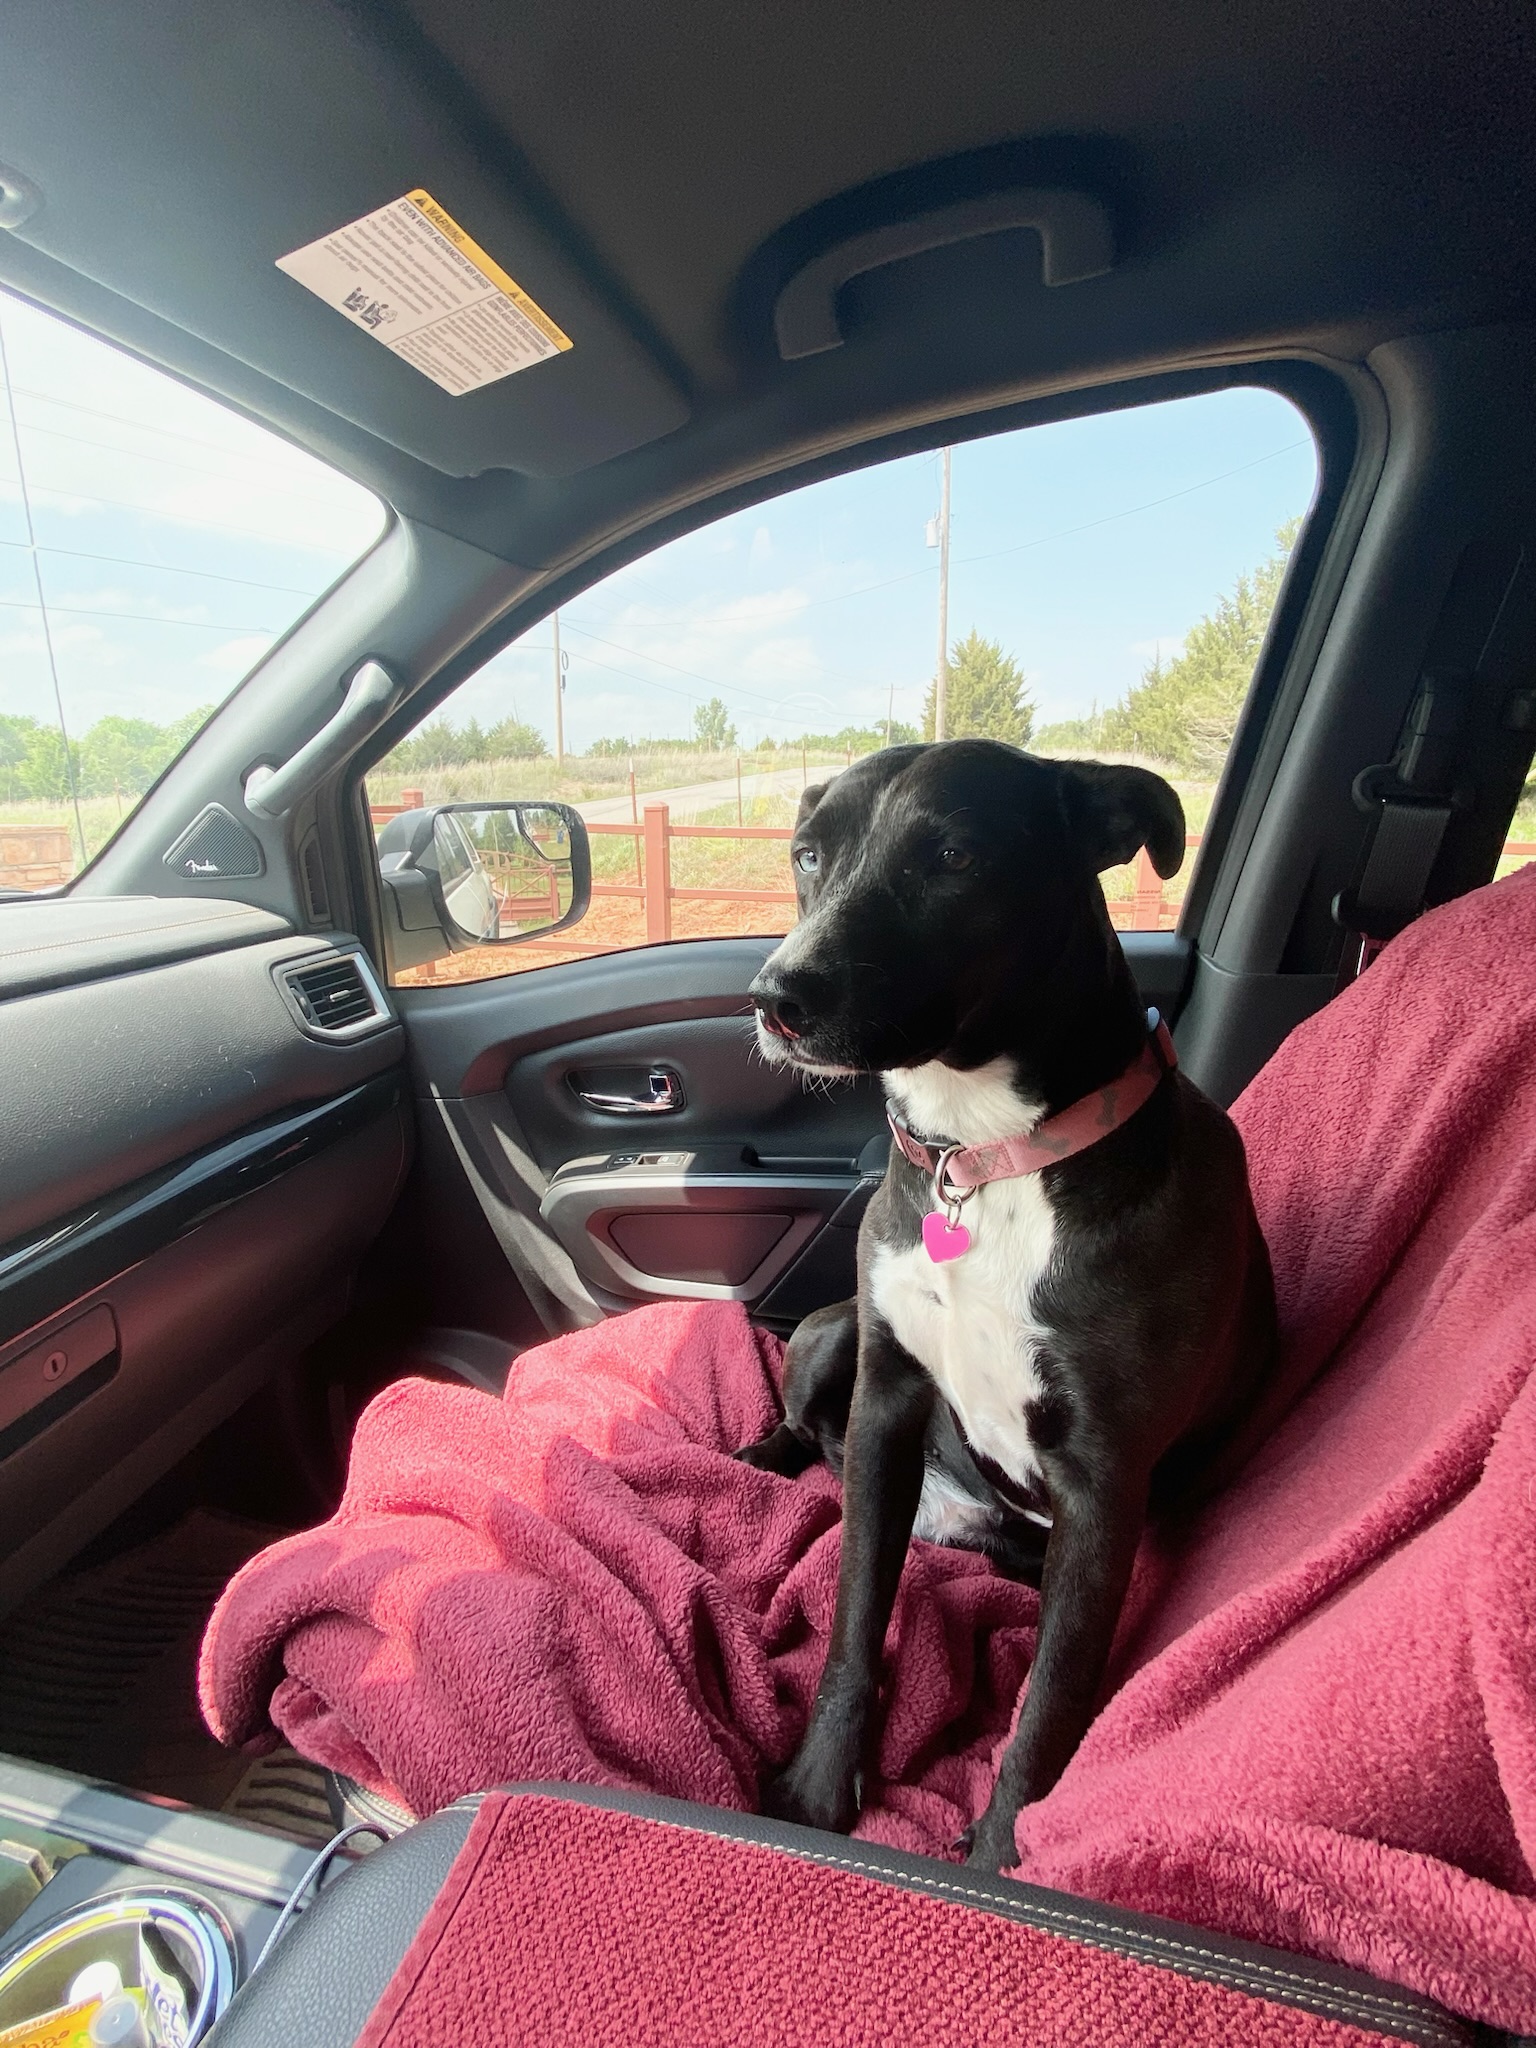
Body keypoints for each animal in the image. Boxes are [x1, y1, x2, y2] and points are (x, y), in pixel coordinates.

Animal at [738, 739, 1280, 1871]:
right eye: (808, 852)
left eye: (953, 856)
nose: (775, 996)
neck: (989, 1159)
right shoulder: (888, 1400)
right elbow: (853, 1621)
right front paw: (817, 1789)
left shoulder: (1101, 1489)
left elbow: (1048, 1704)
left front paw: (997, 1863)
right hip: (832, 1336)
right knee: (801, 1425)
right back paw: (761, 1457)